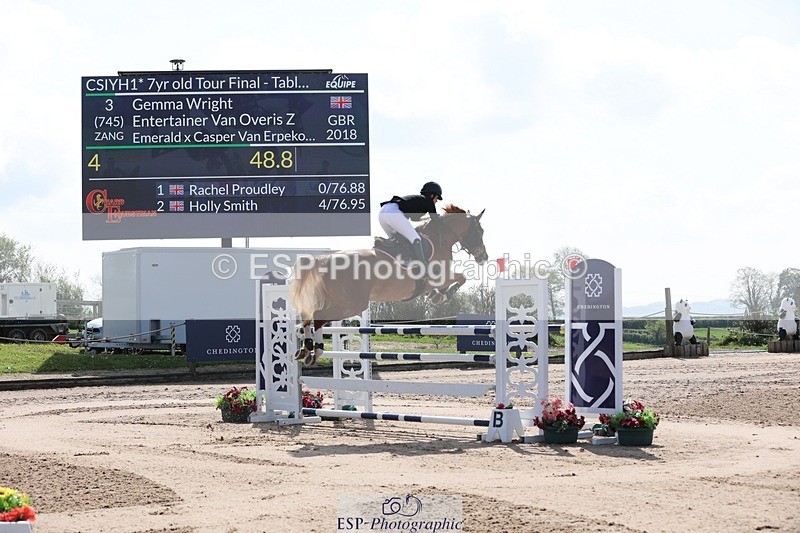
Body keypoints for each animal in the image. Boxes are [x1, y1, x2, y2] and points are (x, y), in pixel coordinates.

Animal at [290, 204, 488, 364]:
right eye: (480, 231)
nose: (483, 257)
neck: (440, 237)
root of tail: (324, 260)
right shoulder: (437, 277)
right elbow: (461, 277)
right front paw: (442, 296)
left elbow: (454, 281)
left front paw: (436, 295)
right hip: (352, 304)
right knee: (316, 317)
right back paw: (314, 350)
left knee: (310, 317)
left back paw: (306, 350)